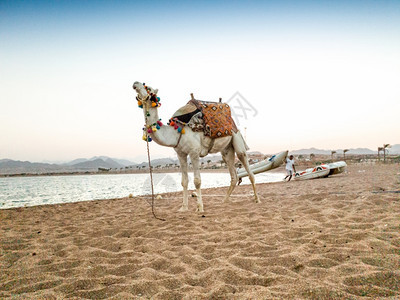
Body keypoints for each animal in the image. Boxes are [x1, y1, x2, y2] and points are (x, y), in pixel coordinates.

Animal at [133, 81, 258, 212]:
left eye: (148, 87)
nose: (135, 84)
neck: (177, 130)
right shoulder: (181, 154)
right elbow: (184, 181)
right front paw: (183, 207)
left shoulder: (194, 152)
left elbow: (197, 181)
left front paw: (200, 208)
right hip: (226, 150)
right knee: (233, 174)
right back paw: (224, 201)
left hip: (236, 137)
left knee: (247, 166)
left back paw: (257, 199)